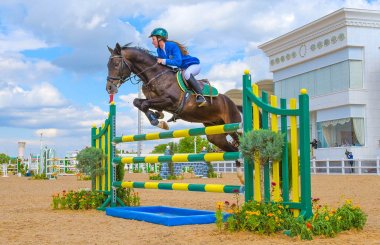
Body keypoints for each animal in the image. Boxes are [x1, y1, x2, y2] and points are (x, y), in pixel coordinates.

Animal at [104, 42, 240, 155]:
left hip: (233, 126)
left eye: (116, 64)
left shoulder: (170, 102)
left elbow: (144, 104)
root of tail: (233, 103)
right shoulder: (156, 101)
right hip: (215, 135)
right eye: (107, 65)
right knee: (232, 149)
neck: (155, 76)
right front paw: (158, 117)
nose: (109, 88)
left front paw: (158, 122)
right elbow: (138, 102)